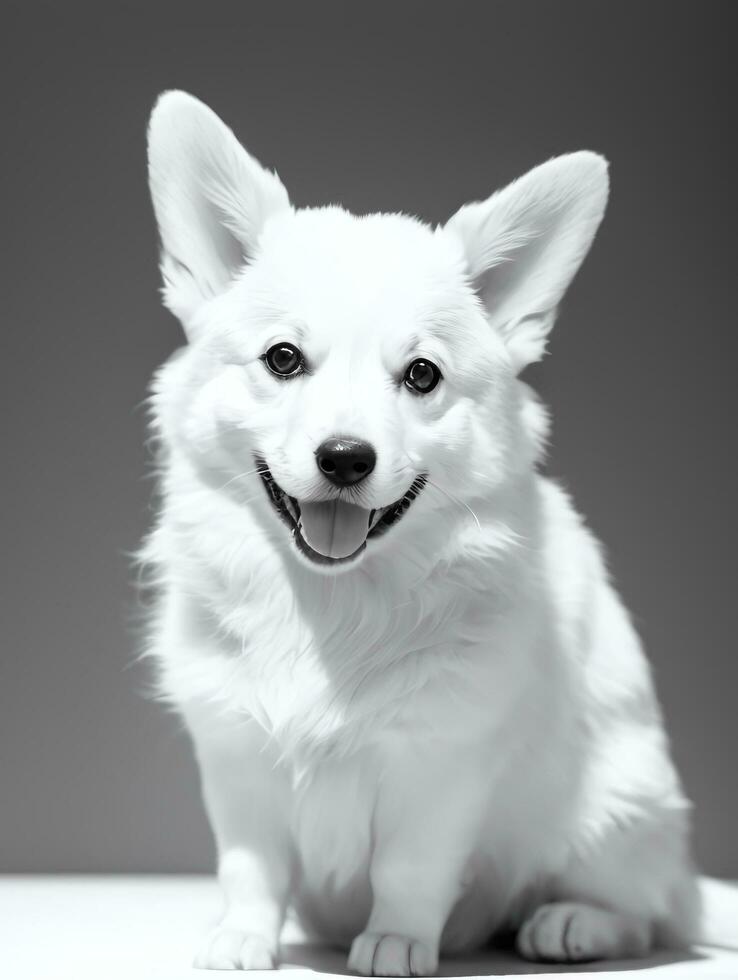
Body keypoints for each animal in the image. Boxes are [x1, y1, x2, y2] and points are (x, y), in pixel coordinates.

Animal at [141, 90, 700, 972]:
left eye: (422, 375)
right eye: (283, 359)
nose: (345, 458)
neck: (332, 605)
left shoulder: (442, 765)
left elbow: (409, 867)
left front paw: (398, 940)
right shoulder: (234, 756)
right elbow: (250, 863)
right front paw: (242, 937)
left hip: (616, 809)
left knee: (643, 911)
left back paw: (573, 923)